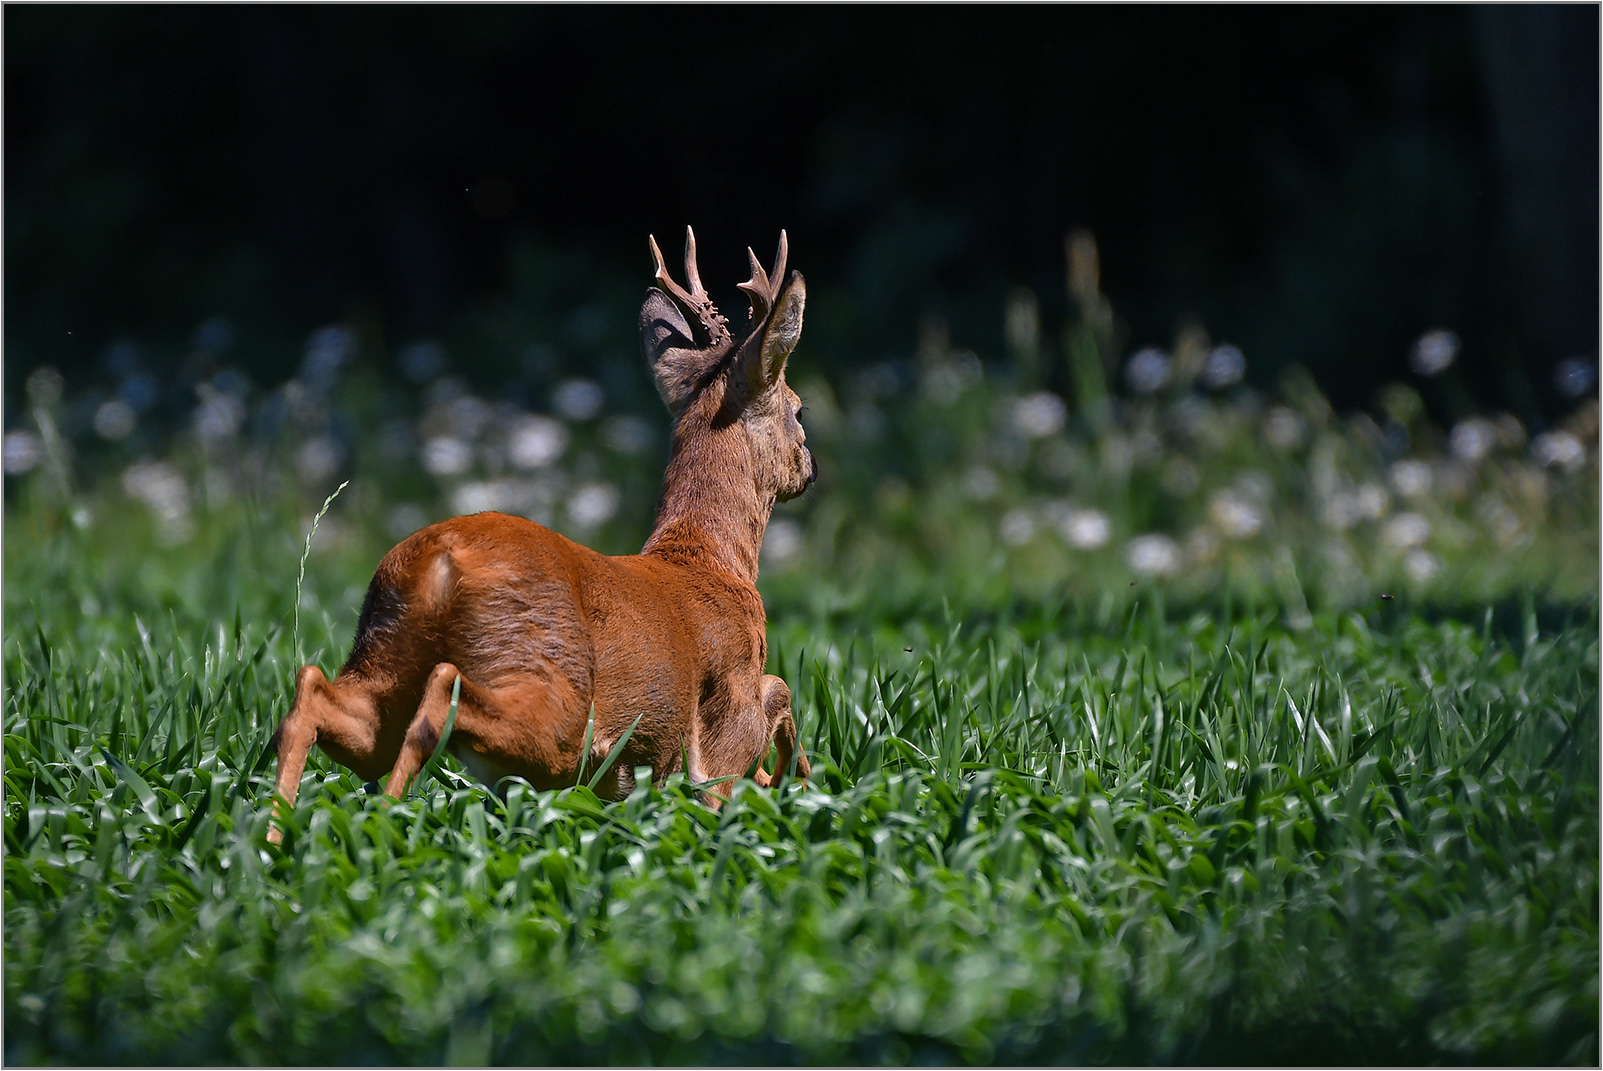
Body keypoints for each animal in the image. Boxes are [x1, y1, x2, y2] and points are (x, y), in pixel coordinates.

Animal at [269, 230, 814, 840]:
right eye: (799, 410)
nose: (811, 468)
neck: (712, 561)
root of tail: (439, 561)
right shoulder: (724, 738)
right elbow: (777, 696)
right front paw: (802, 785)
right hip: (552, 696)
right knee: (441, 700)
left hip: (383, 660)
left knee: (316, 694)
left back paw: (276, 838)